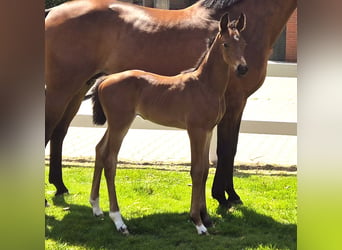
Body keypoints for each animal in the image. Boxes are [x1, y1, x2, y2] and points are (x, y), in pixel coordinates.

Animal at [44, 0, 296, 207]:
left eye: (242, 43)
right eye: (226, 45)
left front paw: (229, 195)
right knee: (49, 130)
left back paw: (60, 186)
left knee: (59, 133)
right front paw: (224, 197)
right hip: (61, 90)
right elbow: (226, 149)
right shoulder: (234, 102)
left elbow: (229, 149)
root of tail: (52, 12)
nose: (242, 68)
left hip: (78, 89)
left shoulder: (235, 105)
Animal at [89, 12, 247, 235]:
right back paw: (118, 220)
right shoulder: (195, 130)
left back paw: (96, 207)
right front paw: (197, 222)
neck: (205, 85)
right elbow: (196, 171)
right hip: (120, 123)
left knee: (99, 150)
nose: (243, 68)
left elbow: (205, 170)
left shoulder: (208, 130)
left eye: (243, 43)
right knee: (110, 160)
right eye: (226, 44)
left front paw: (206, 218)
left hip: (114, 124)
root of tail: (104, 80)